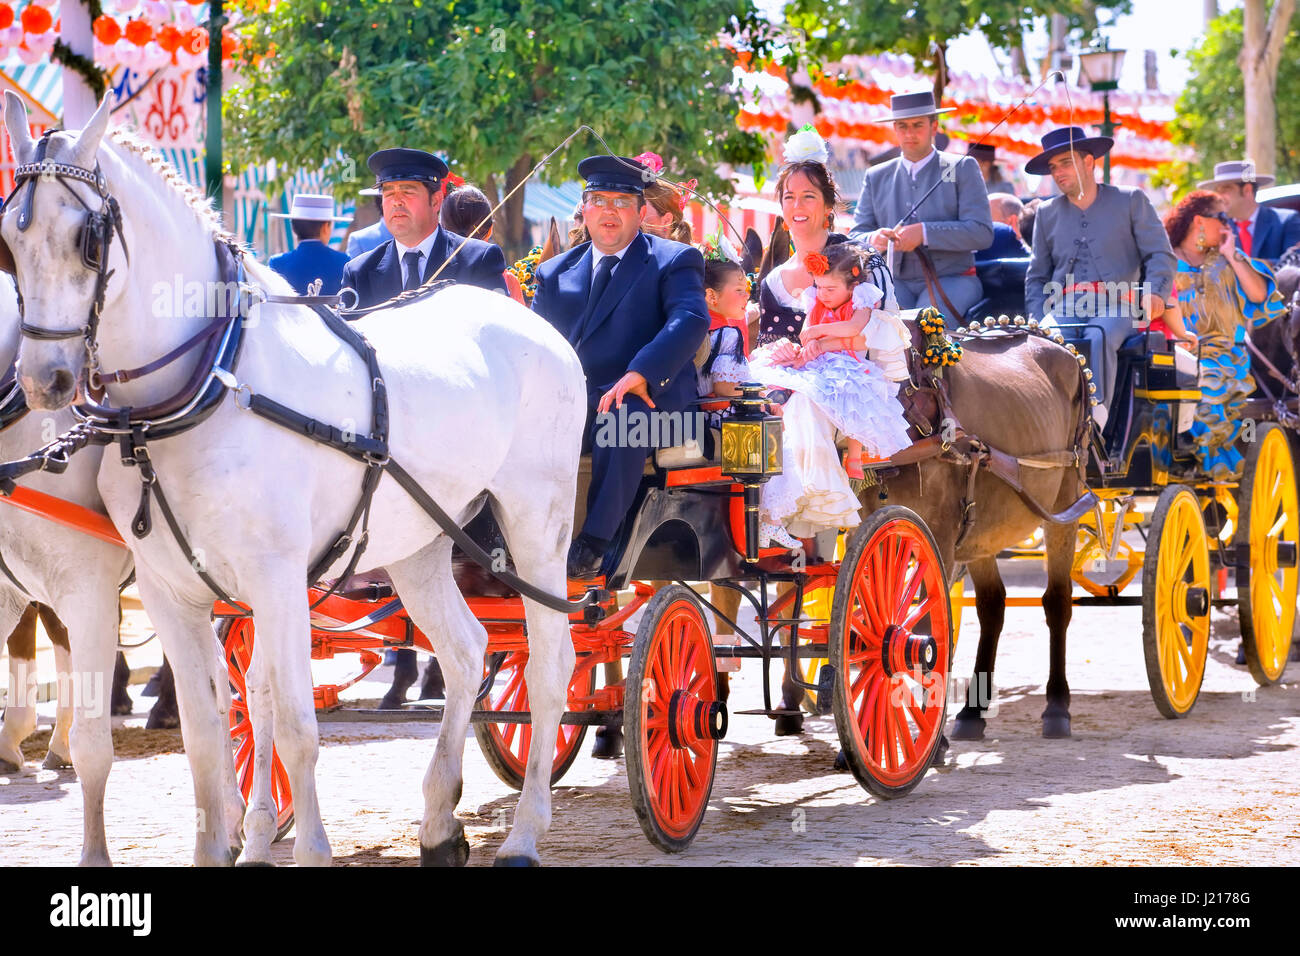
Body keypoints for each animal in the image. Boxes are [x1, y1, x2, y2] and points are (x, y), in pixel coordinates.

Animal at [1, 95, 585, 868]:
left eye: (86, 238)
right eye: (10, 238)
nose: (48, 381)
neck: (209, 384)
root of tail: (525, 316)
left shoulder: (264, 579)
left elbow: (297, 724)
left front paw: (307, 846)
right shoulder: (167, 591)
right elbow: (210, 734)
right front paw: (220, 845)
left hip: (537, 525)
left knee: (550, 666)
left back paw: (523, 832)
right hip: (421, 540)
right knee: (465, 652)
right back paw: (439, 822)